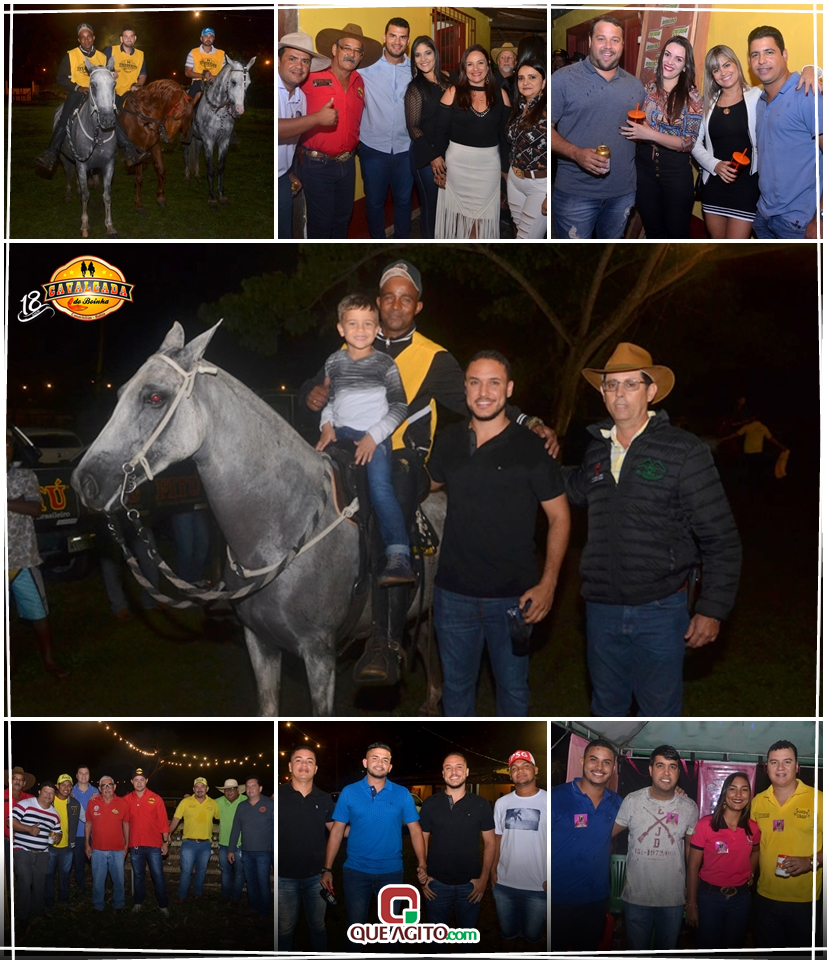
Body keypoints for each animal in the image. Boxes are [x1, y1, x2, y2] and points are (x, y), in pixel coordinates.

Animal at [55, 57, 119, 238]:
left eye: (113, 84)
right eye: (93, 85)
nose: (107, 120)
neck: (98, 136)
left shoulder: (108, 165)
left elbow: (107, 196)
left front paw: (109, 226)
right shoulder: (82, 164)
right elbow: (85, 195)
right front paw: (84, 225)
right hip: (65, 158)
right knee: (69, 174)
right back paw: (69, 194)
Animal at [72, 320, 446, 712]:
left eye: (154, 397)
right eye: (121, 393)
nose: (85, 481)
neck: (282, 526)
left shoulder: (319, 654)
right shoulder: (260, 643)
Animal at [119, 79, 195, 213]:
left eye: (190, 119)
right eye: (176, 117)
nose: (169, 140)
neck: (145, 115)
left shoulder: (155, 147)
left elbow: (161, 171)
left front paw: (160, 198)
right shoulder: (139, 151)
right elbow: (139, 179)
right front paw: (138, 204)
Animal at [184, 55, 256, 207]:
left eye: (248, 83)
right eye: (233, 82)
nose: (238, 111)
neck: (218, 111)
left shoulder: (224, 141)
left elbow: (221, 168)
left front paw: (222, 195)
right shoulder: (209, 141)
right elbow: (211, 168)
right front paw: (212, 198)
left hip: (198, 139)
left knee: (196, 153)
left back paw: (197, 176)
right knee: (186, 154)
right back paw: (187, 176)